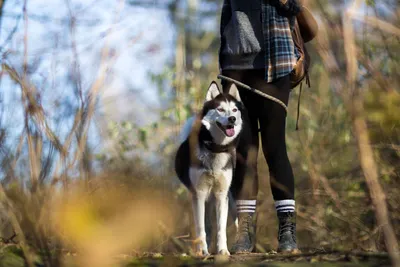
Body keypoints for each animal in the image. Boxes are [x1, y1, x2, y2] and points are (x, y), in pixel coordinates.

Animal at [173, 82, 242, 258]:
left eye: (234, 110)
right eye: (220, 109)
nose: (232, 119)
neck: (215, 149)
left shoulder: (222, 195)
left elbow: (221, 228)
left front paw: (223, 250)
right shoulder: (199, 193)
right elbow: (201, 228)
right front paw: (202, 250)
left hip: (225, 199)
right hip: (198, 198)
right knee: (204, 225)